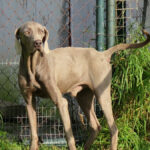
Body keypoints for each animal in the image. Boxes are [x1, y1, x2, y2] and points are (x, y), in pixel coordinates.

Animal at [14, 21, 150, 150]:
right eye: (27, 32)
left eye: (41, 31)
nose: (38, 43)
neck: (33, 65)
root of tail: (102, 54)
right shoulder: (29, 102)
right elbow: (33, 134)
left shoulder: (61, 102)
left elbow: (69, 136)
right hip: (84, 97)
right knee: (95, 126)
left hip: (102, 94)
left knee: (113, 128)